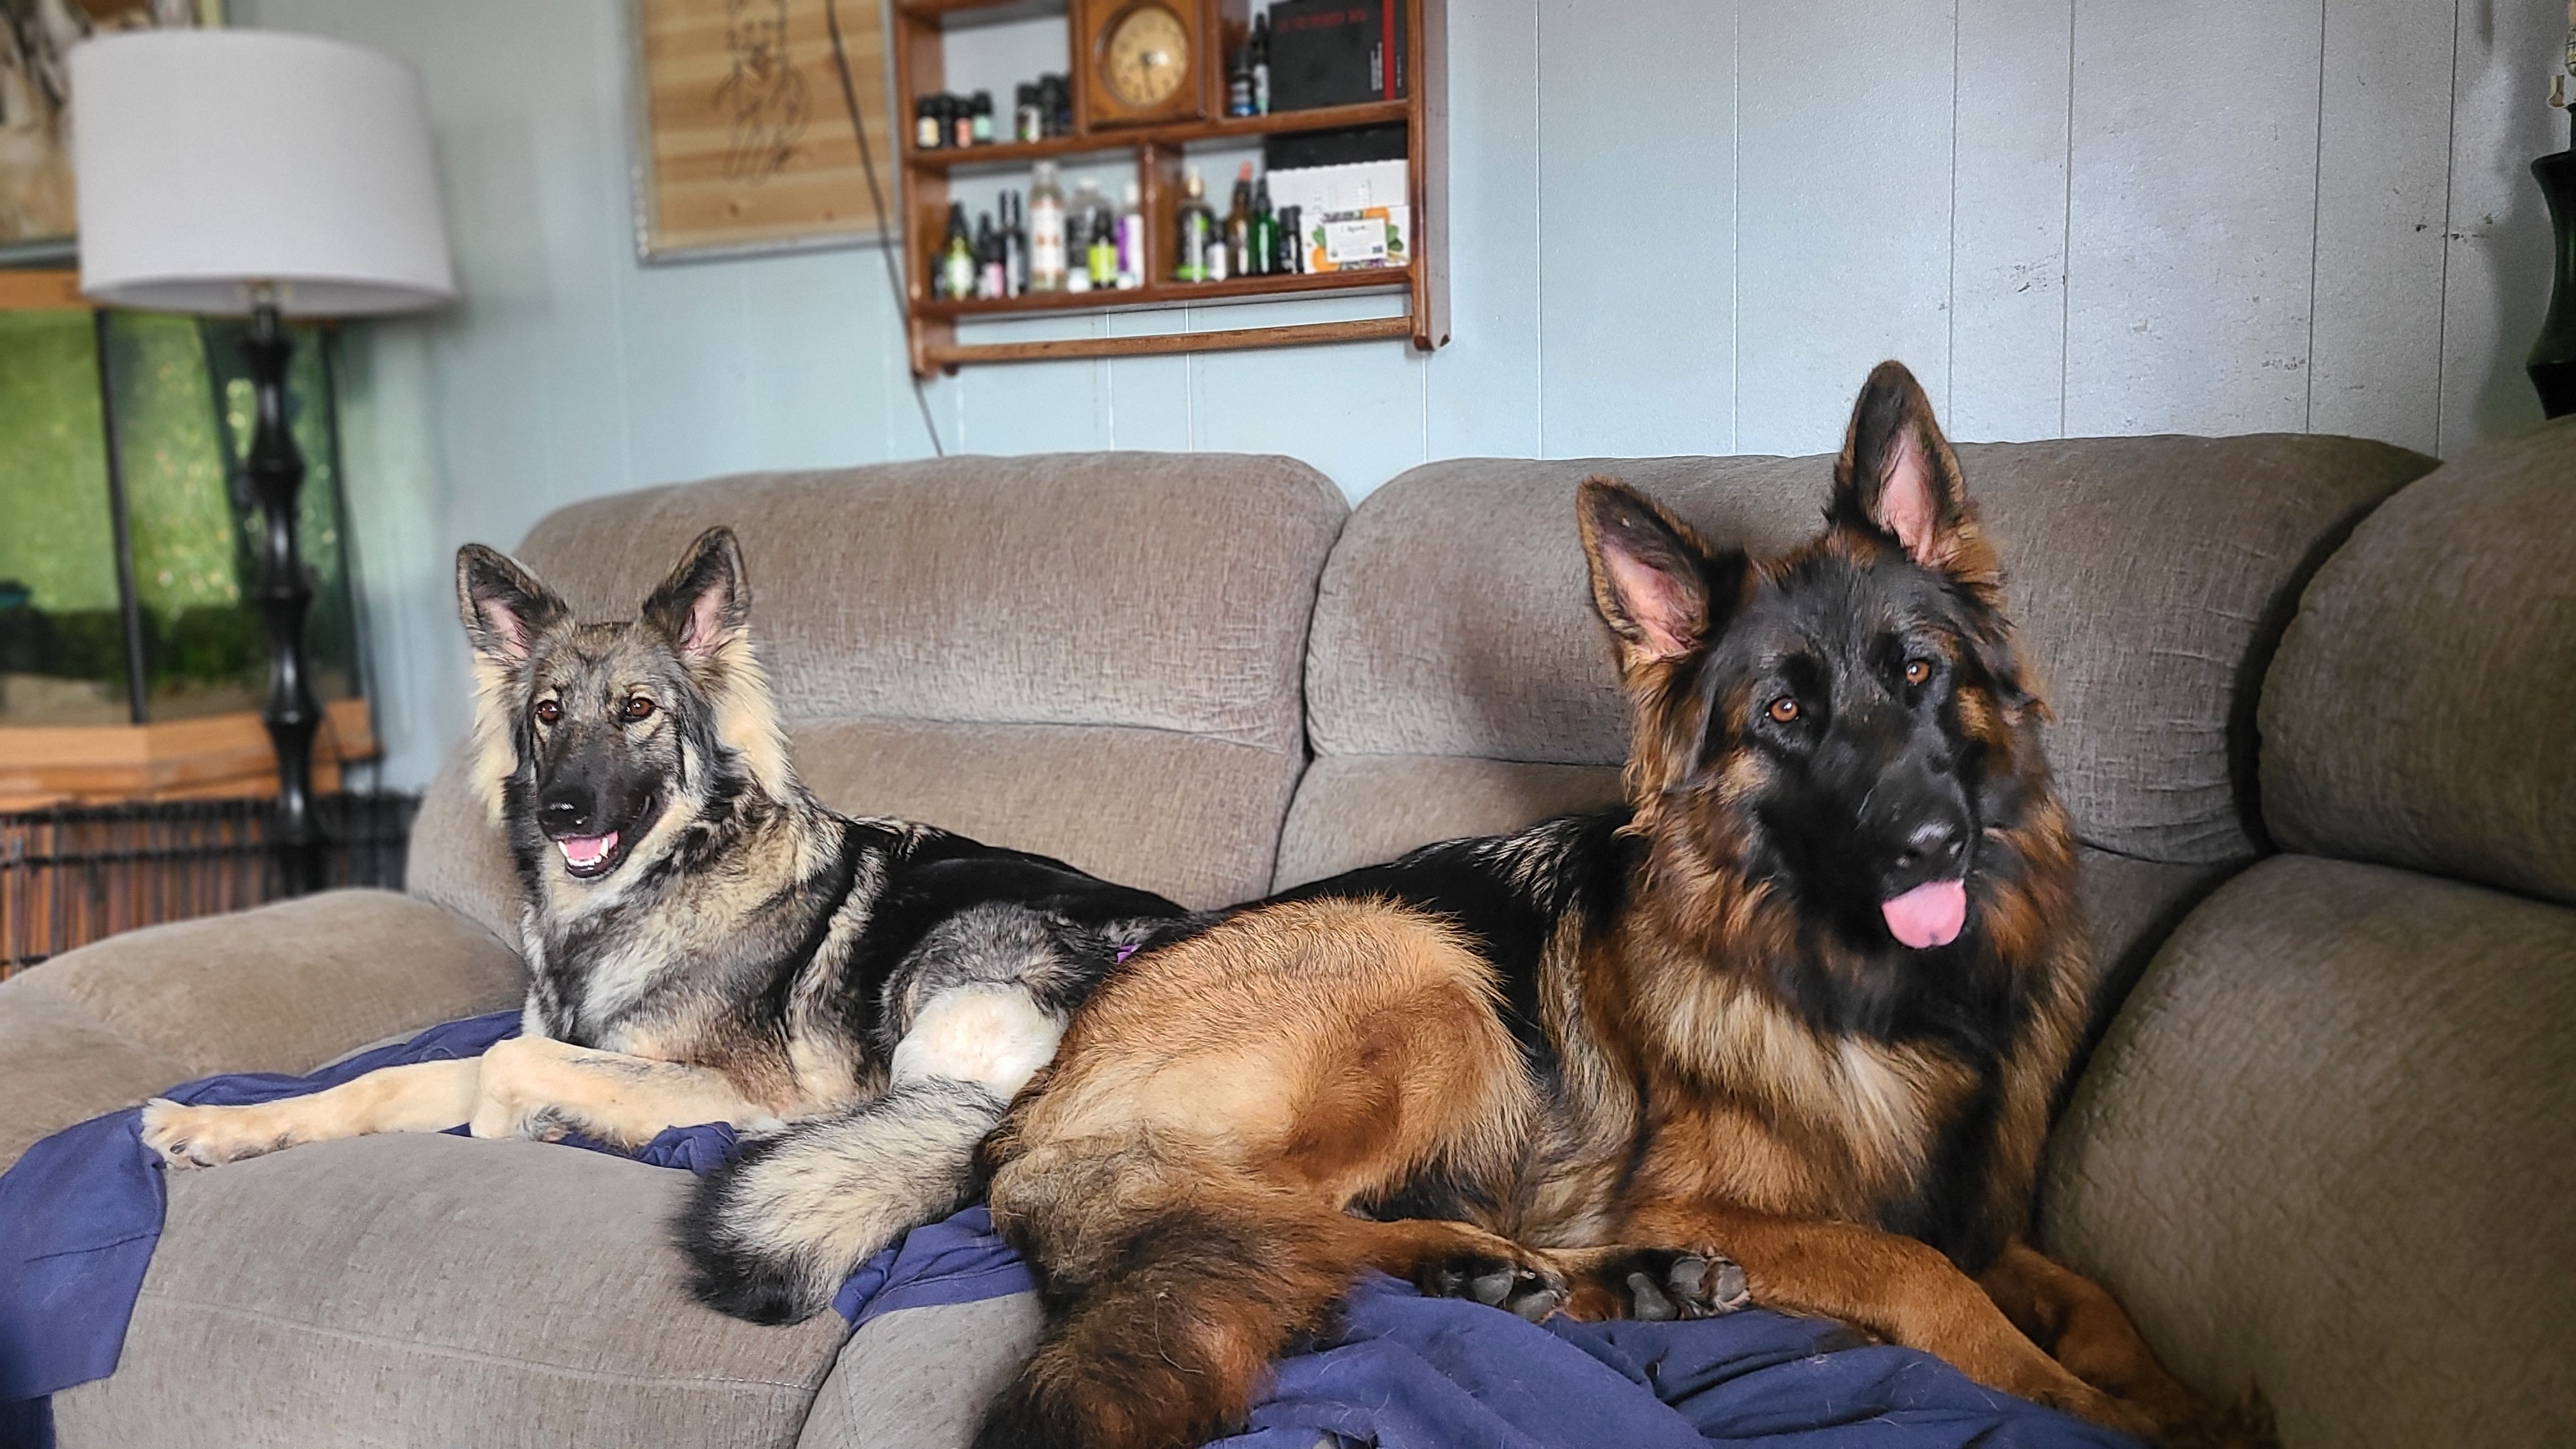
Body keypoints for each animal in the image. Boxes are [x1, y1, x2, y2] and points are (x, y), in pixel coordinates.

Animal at [138, 527, 1185, 1313]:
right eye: (548, 714)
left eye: (637, 709)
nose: (562, 813)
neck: (644, 897)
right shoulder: (545, 1043)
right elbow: (394, 1080)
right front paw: (217, 1125)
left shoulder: (732, 1084)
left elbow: (508, 1072)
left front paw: (531, 1123)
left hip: (949, 981)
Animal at [956, 363, 2259, 1448]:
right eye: (1784, 714)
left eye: (1920, 672)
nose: (1931, 847)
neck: (1867, 991)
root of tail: (1044, 1100)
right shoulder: (1716, 1198)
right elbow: (1918, 1273)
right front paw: (2076, 1405)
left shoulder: (1982, 1216)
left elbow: (2093, 1295)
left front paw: (2188, 1403)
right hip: (1425, 972)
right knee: (1272, 1216)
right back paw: (1485, 1268)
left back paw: (1611, 1283)